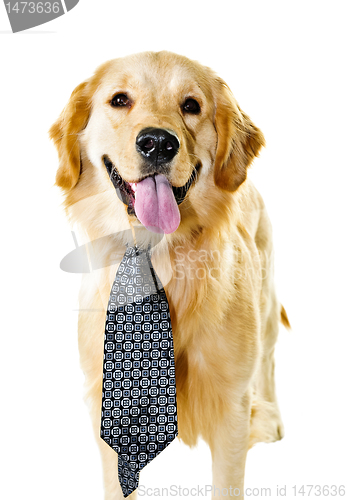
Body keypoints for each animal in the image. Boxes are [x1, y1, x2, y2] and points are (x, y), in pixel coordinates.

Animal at [51, 51, 290, 500]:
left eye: (191, 105)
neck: (153, 251)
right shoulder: (107, 409)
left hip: (266, 308)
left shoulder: (231, 404)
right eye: (120, 100)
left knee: (267, 361)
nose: (158, 142)